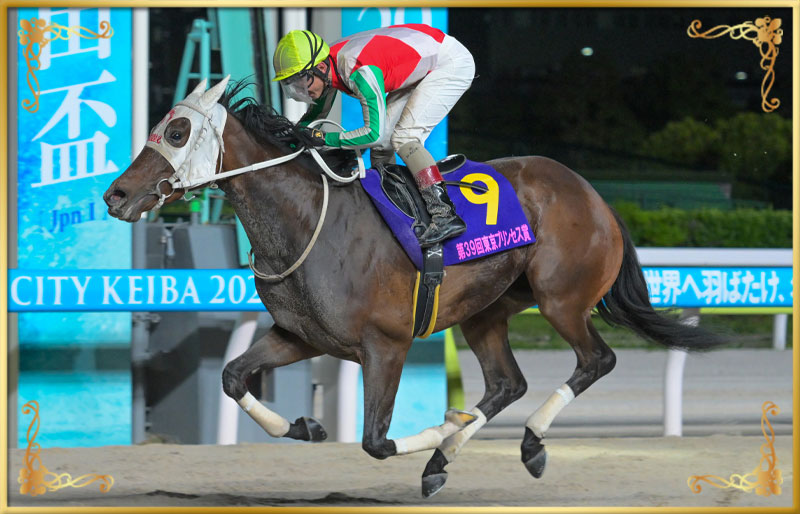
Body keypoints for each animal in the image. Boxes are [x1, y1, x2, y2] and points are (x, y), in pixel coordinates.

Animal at [103, 77, 724, 498]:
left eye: (177, 132)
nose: (115, 195)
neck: (308, 221)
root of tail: (593, 194)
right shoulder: (300, 335)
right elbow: (233, 377)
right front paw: (305, 424)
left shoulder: (387, 345)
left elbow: (376, 441)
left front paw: (441, 426)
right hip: (486, 310)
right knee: (507, 383)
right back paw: (447, 458)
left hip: (561, 298)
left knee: (596, 360)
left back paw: (523, 442)